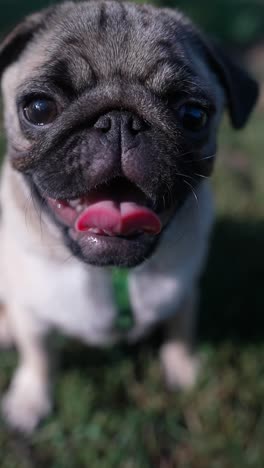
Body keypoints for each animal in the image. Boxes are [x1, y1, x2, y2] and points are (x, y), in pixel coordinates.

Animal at [0, 0, 258, 432]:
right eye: (38, 108)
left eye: (193, 115)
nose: (118, 120)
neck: (110, 272)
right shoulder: (31, 312)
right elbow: (39, 355)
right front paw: (30, 400)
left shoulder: (186, 289)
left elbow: (181, 328)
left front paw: (184, 370)